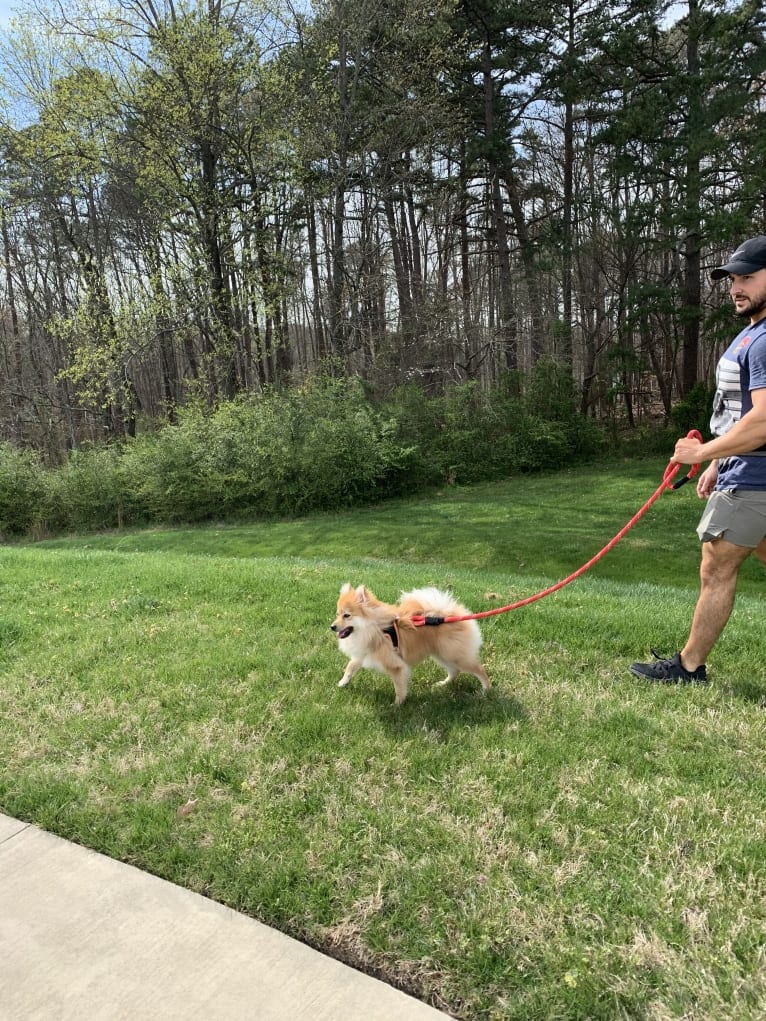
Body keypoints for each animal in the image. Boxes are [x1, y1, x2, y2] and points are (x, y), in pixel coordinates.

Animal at [330, 588, 492, 706]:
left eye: (347, 615)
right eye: (337, 614)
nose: (332, 626)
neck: (374, 628)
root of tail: (449, 614)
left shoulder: (395, 665)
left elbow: (399, 686)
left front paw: (397, 704)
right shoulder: (364, 652)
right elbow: (351, 666)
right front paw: (343, 682)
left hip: (454, 655)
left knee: (479, 669)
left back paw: (486, 690)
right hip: (442, 654)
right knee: (454, 671)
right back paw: (443, 684)